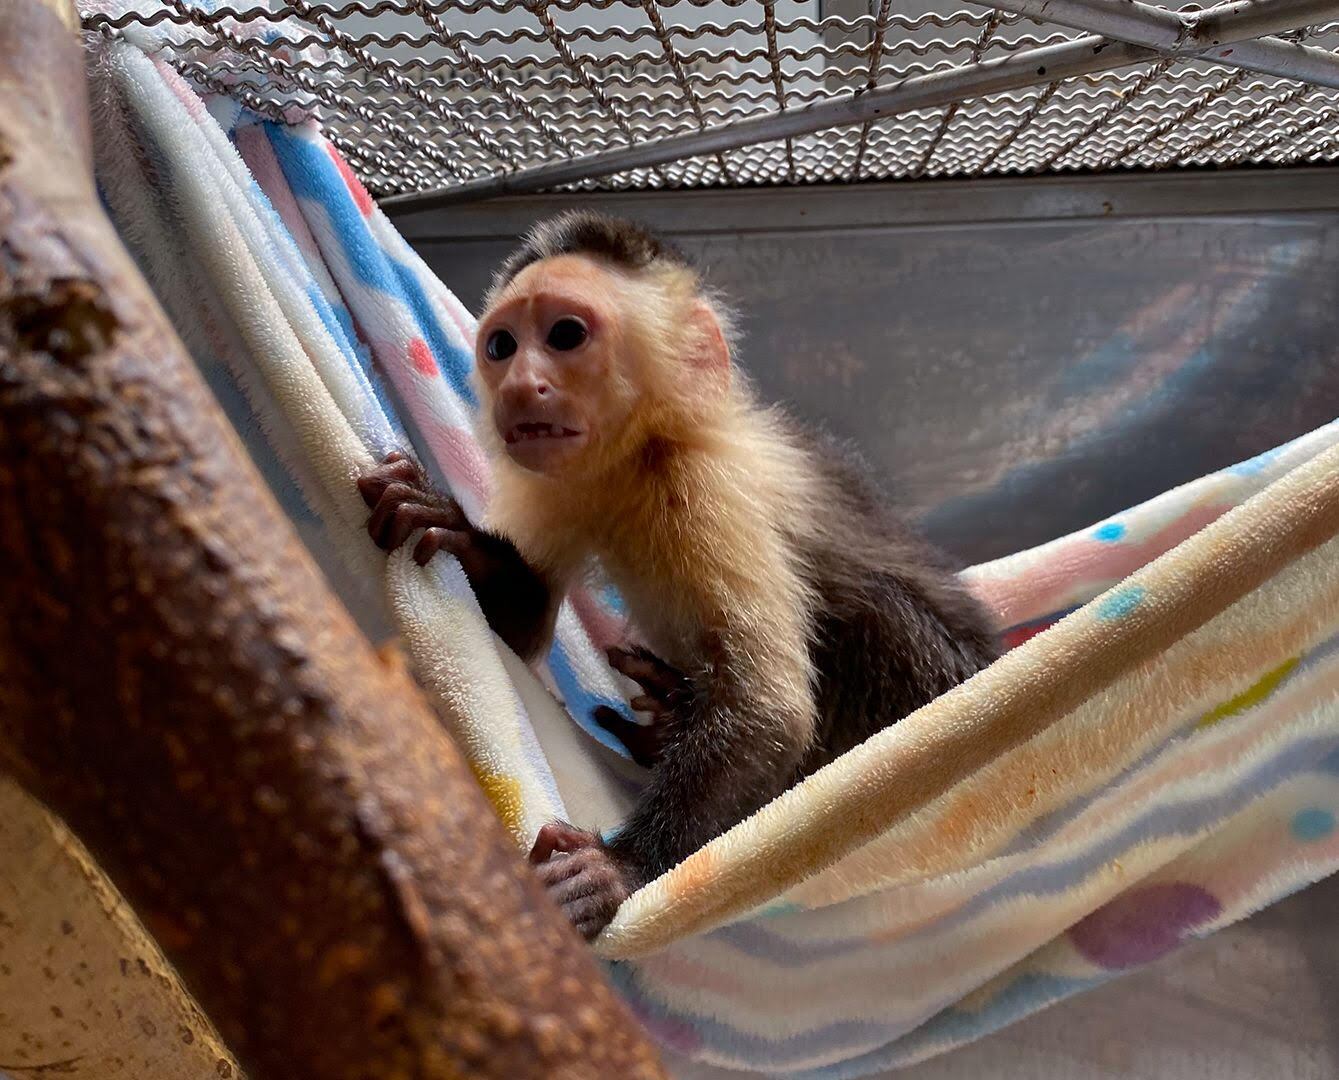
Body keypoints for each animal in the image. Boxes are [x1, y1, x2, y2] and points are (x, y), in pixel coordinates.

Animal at [357, 212, 1000, 941]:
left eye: (564, 335)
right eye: (500, 345)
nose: (519, 385)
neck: (638, 457)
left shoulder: (706, 486)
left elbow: (768, 710)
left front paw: (621, 869)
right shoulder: (547, 473)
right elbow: (522, 631)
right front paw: (458, 536)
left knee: (871, 614)